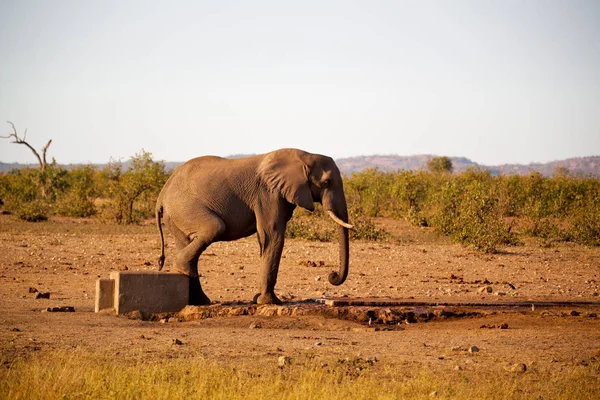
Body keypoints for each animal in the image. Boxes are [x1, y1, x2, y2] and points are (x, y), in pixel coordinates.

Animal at [156, 148, 352, 304]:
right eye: (326, 183)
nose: (332, 275)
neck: (304, 155)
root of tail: (162, 194)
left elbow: (267, 239)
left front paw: (260, 300)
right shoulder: (268, 194)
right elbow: (272, 235)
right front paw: (269, 302)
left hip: (176, 214)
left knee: (186, 241)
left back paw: (200, 301)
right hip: (184, 206)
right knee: (215, 228)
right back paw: (184, 272)